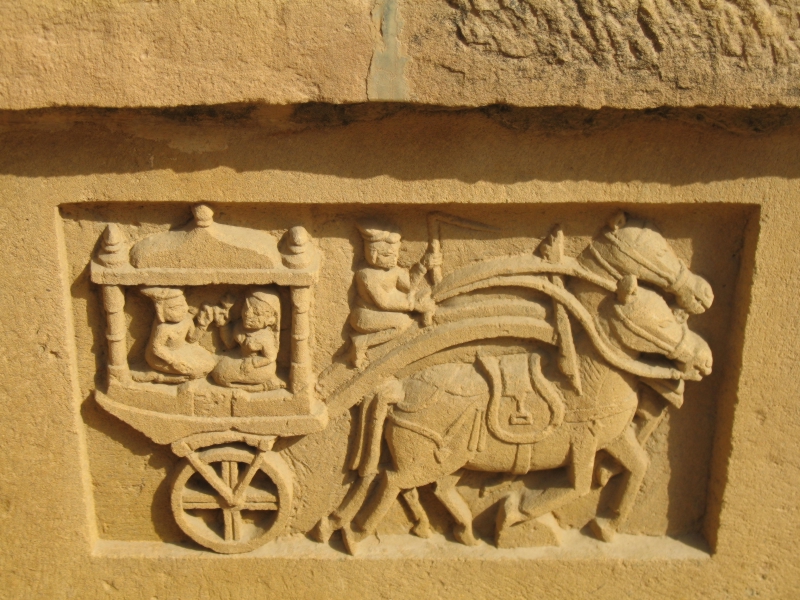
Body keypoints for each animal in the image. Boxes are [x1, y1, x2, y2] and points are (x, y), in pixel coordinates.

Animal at [328, 274, 708, 552]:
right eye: (661, 323)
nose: (705, 359)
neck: (587, 383)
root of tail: (397, 389)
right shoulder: (584, 442)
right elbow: (579, 486)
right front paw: (515, 514)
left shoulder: (613, 438)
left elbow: (638, 466)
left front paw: (607, 524)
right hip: (427, 457)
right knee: (392, 482)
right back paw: (357, 534)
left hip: (446, 458)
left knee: (427, 487)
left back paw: (461, 530)